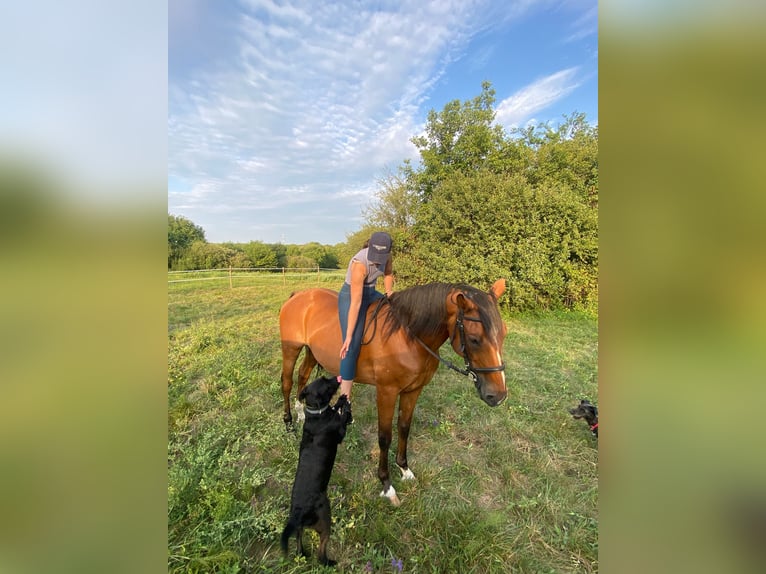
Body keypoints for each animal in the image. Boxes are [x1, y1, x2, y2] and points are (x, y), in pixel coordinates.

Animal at [279, 279, 508, 505]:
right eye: (475, 338)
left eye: (503, 334)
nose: (498, 396)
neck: (407, 337)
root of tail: (298, 295)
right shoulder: (386, 392)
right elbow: (385, 437)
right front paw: (386, 484)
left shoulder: (413, 390)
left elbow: (404, 427)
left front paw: (404, 469)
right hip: (291, 349)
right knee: (287, 382)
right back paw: (289, 423)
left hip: (312, 352)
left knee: (303, 376)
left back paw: (302, 414)